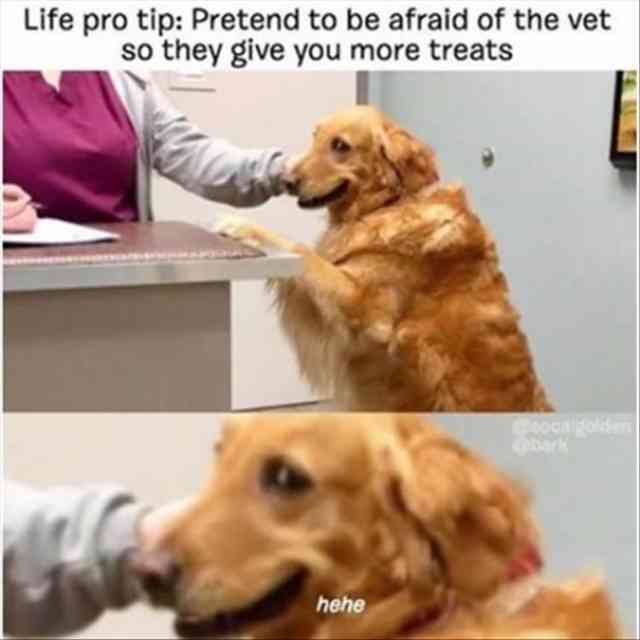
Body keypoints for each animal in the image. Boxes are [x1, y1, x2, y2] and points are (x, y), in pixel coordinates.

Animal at [216, 107, 556, 412]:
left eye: (340, 146)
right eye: (315, 137)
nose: (287, 180)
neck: (389, 203)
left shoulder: (364, 305)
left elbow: (302, 251)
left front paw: (243, 226)